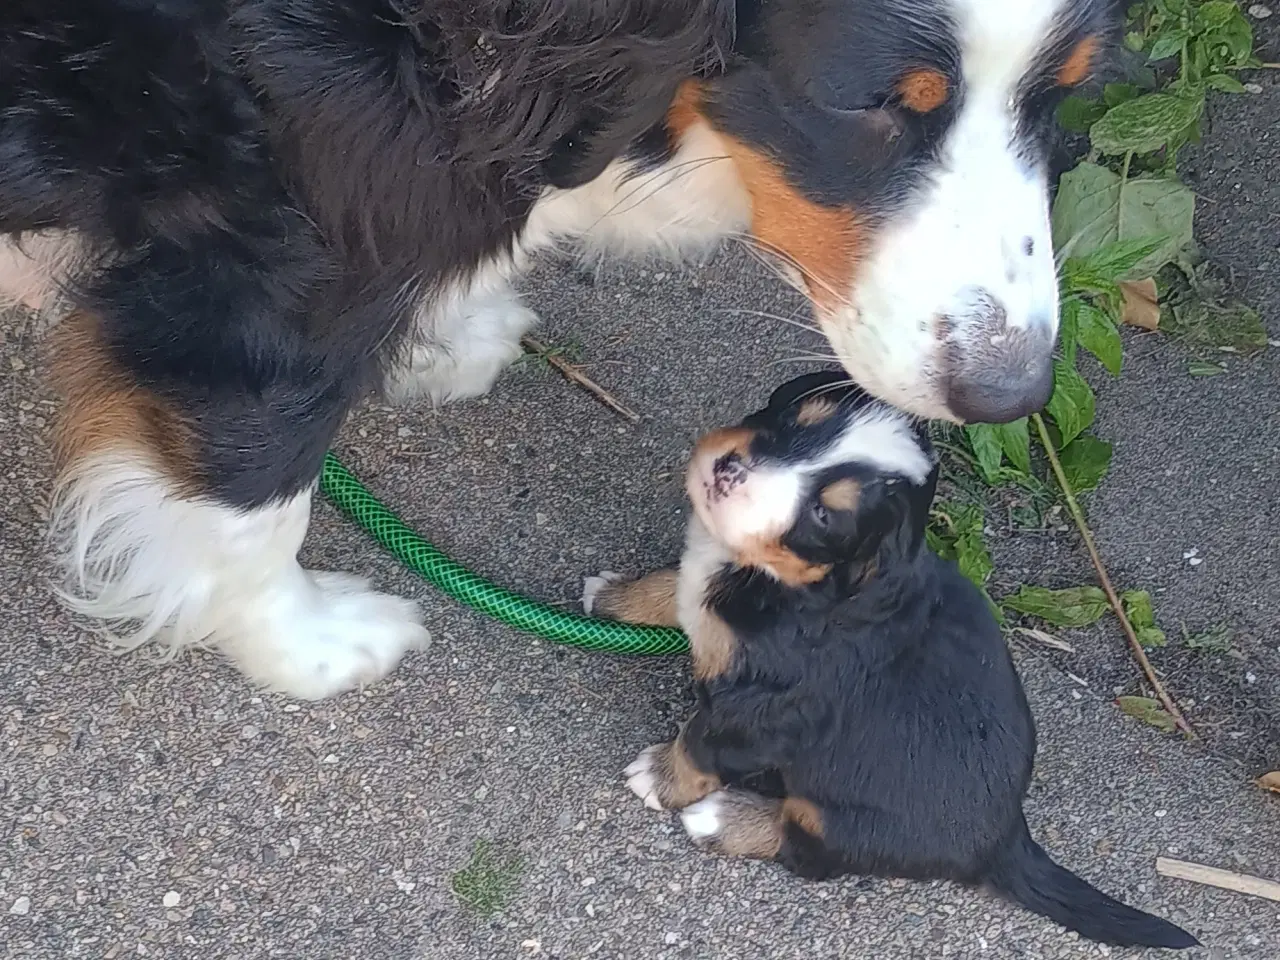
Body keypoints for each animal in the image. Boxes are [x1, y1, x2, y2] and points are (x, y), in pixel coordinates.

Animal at [0, 0, 1114, 698]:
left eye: (1062, 91)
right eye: (870, 102)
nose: (1010, 391)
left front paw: (437, 338)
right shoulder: (271, 273)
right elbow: (254, 496)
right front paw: (306, 649)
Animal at [584, 371, 1197, 949]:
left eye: (825, 517)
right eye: (795, 417)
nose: (730, 469)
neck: (784, 582)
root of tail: (1006, 839)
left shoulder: (762, 709)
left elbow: (701, 744)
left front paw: (660, 777)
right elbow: (674, 586)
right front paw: (618, 598)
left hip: (837, 818)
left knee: (807, 850)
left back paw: (723, 818)